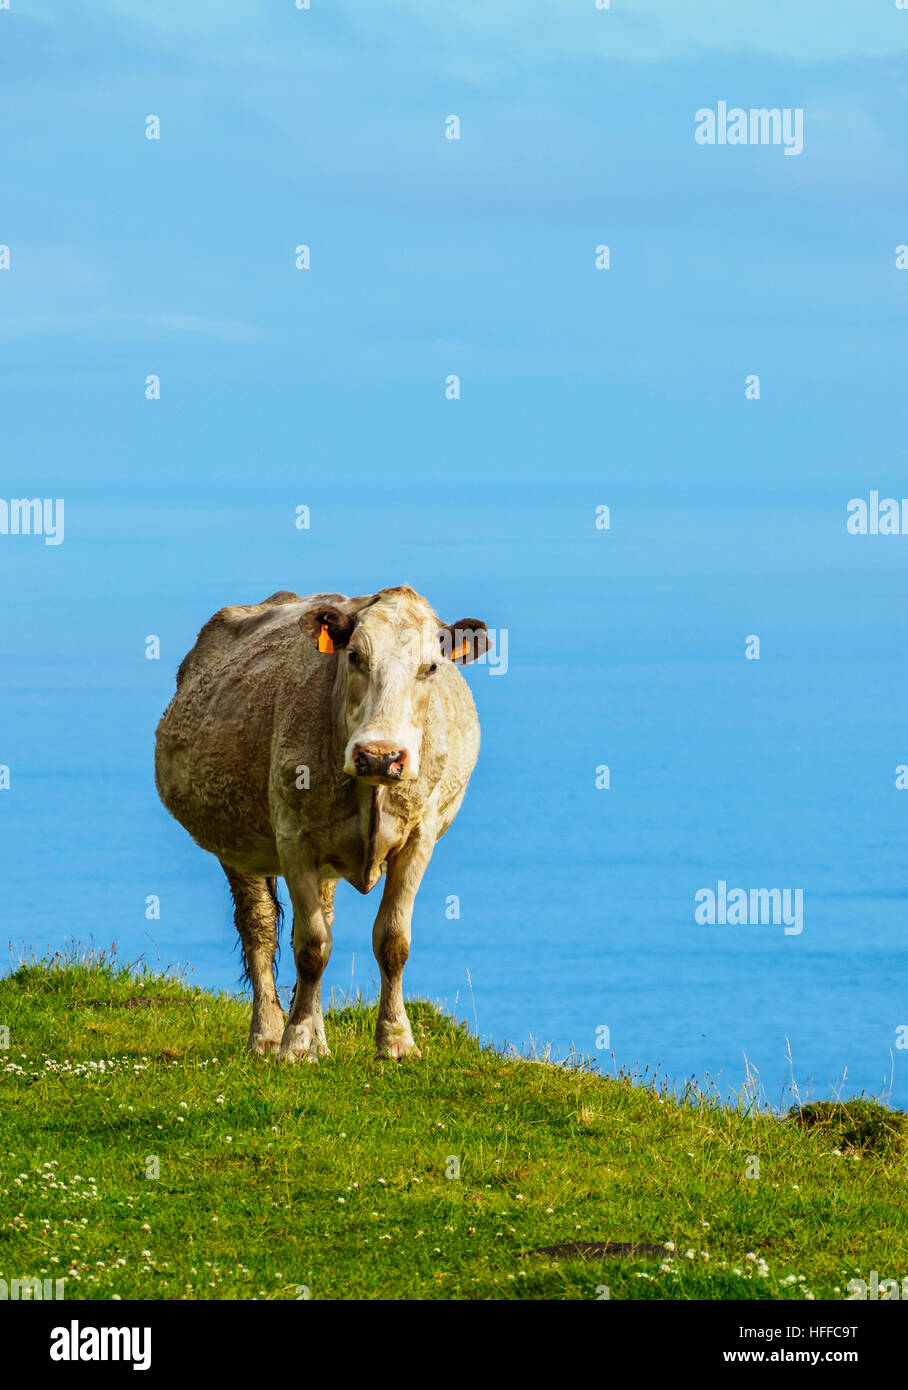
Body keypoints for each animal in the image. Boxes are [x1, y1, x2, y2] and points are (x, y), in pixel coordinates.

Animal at [154, 586, 489, 1061]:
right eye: (355, 657)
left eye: (430, 667)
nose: (381, 755)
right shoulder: (293, 838)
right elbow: (310, 947)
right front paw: (294, 1045)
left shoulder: (420, 837)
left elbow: (392, 940)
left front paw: (396, 1042)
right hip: (235, 842)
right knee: (259, 928)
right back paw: (268, 1034)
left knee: (322, 917)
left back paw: (320, 1038)